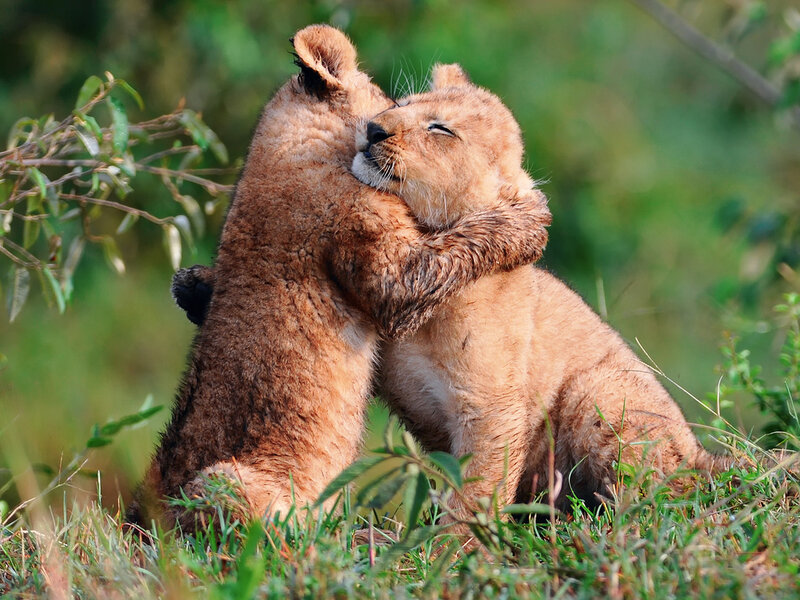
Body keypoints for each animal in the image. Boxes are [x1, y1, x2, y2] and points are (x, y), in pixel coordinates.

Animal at [128, 27, 551, 529]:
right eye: (396, 102)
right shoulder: (390, 269)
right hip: (222, 482)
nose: (377, 130)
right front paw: (530, 219)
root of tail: (143, 526)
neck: (283, 143)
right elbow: (461, 245)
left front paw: (194, 285)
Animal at [173, 63, 734, 531]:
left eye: (441, 129)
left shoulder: (490, 405)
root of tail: (704, 455)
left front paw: (451, 550)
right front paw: (195, 284)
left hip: (598, 391)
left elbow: (479, 489)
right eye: (403, 103)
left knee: (658, 500)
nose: (373, 129)